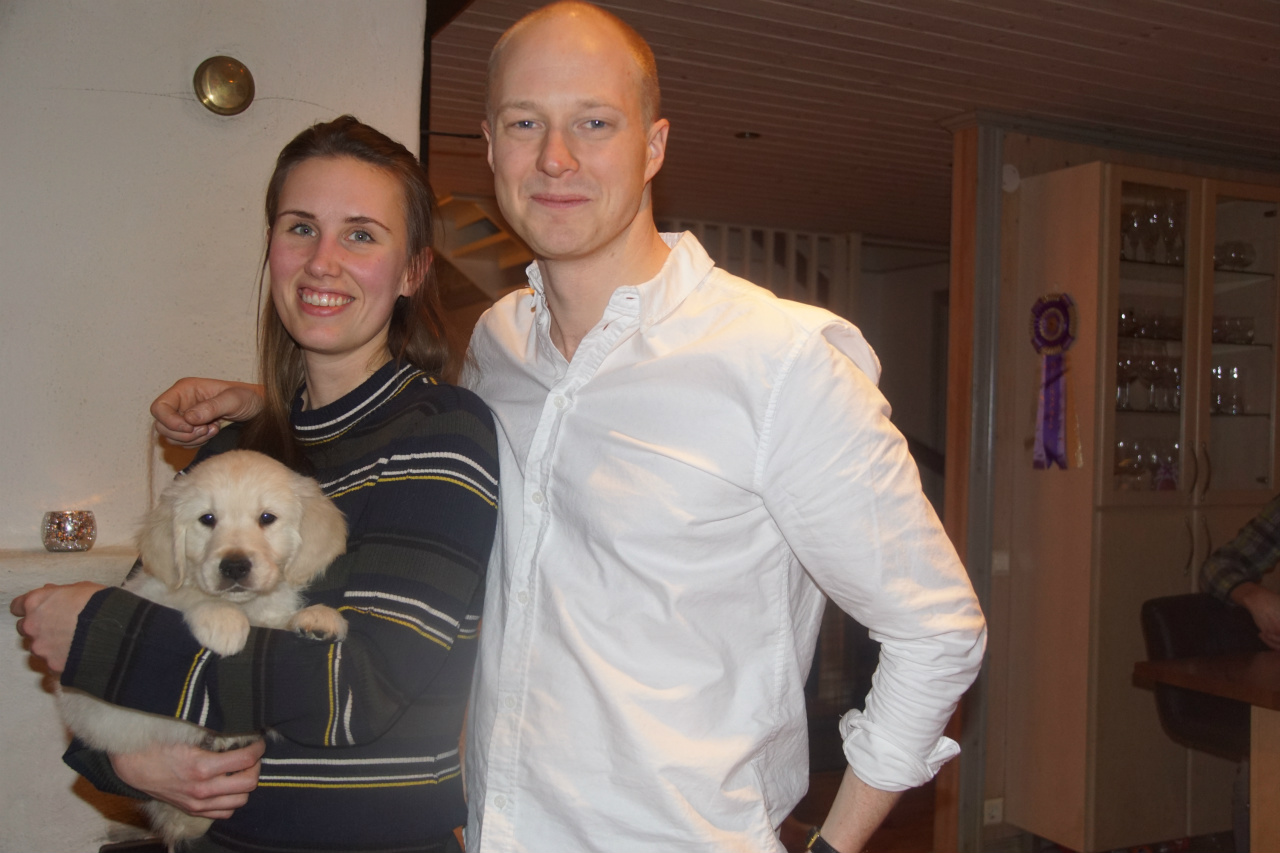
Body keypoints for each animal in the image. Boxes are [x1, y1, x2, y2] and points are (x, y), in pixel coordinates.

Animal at [56, 449, 348, 848]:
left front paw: (318, 618)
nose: (235, 566)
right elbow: (188, 596)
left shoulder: (270, 611)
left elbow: (279, 620)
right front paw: (224, 621)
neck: (246, 606)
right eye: (207, 519)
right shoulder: (154, 590)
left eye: (267, 518)